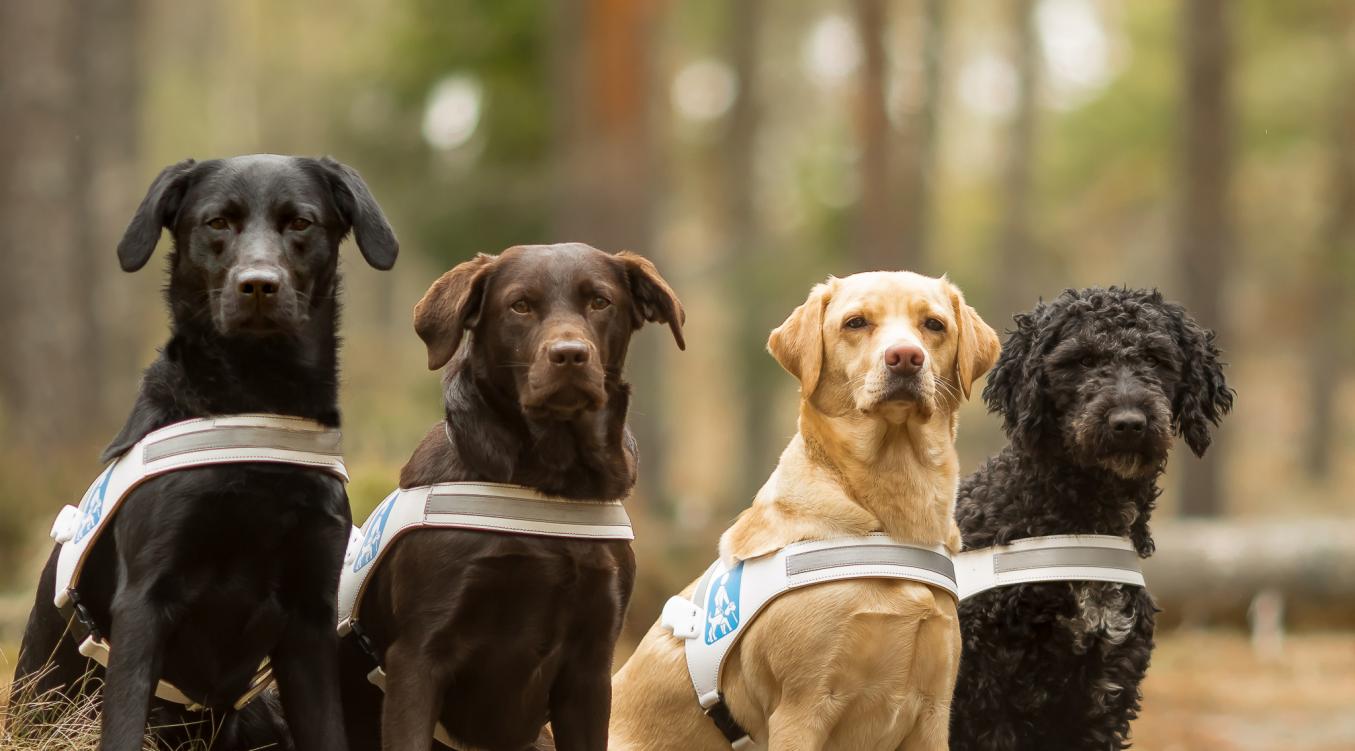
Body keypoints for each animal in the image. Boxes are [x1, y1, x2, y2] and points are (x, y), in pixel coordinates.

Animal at [14, 153, 395, 748]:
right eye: (217, 222)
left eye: (301, 222)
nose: (258, 285)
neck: (255, 406)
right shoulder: (143, 603)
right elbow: (122, 727)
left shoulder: (310, 614)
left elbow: (326, 730)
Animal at [334, 244, 682, 748]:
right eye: (519, 305)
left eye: (600, 302)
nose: (570, 355)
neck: (547, 484)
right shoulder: (418, 655)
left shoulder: (592, 667)